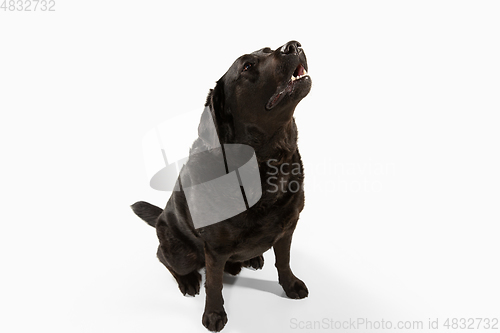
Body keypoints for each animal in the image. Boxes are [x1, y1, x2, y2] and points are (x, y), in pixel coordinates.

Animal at [133, 40, 312, 330]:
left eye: (268, 49)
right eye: (247, 66)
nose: (293, 45)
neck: (266, 165)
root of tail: (161, 217)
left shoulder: (288, 227)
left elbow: (284, 261)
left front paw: (290, 285)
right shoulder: (215, 249)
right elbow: (214, 284)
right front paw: (214, 314)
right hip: (181, 252)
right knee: (163, 256)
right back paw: (188, 280)